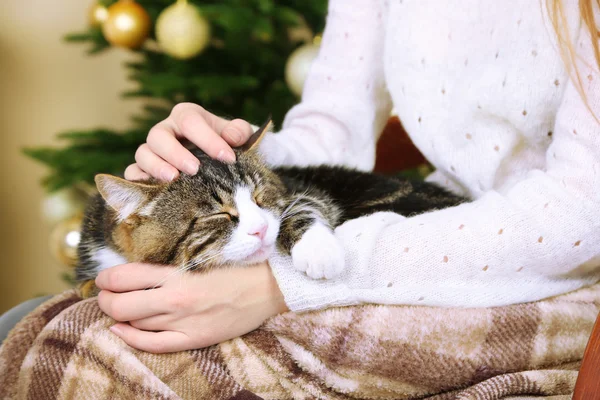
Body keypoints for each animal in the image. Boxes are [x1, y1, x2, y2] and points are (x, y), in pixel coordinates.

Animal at [77, 117, 466, 296]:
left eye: (260, 197)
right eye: (219, 214)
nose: (261, 228)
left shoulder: (301, 190)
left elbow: (305, 207)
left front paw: (319, 252)